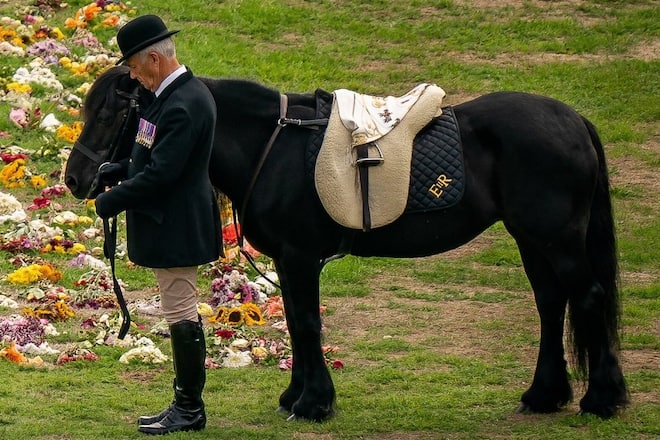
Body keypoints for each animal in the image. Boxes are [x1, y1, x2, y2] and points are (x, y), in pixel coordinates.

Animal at [64, 66, 629, 421]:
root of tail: (574, 120)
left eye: (110, 114)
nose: (76, 180)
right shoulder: (289, 260)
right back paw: (545, 394)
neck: (273, 144)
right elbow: (298, 323)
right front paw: (296, 397)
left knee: (587, 297)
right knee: (551, 303)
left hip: (557, 239)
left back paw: (602, 399)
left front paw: (313, 403)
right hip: (532, 238)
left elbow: (307, 324)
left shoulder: (299, 257)